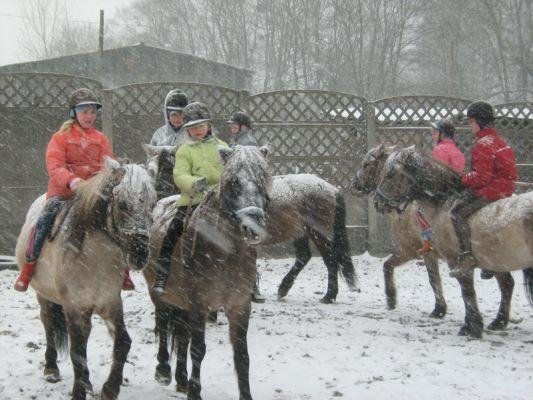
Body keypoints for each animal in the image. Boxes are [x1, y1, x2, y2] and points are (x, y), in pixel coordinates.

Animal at [14, 158, 156, 398]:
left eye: (152, 205)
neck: (95, 256)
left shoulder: (110, 302)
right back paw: (51, 369)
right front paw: (78, 392)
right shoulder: (74, 305)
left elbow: (123, 342)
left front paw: (110, 388)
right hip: (45, 296)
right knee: (49, 325)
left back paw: (88, 382)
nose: (140, 254)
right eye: (122, 204)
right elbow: (77, 350)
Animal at [143, 145, 272, 398]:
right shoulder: (199, 304)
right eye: (233, 182)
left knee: (182, 336)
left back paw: (181, 379)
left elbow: (241, 354)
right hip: (159, 295)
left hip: (182, 304)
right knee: (162, 325)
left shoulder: (239, 306)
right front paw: (195, 392)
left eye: (263, 181)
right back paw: (163, 370)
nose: (253, 226)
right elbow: (198, 349)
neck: (226, 252)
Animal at [374, 147, 532, 338]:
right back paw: (498, 322)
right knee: (507, 284)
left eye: (390, 174)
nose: (377, 202)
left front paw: (471, 326)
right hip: (496, 261)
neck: (445, 202)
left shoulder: (450, 259)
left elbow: (466, 290)